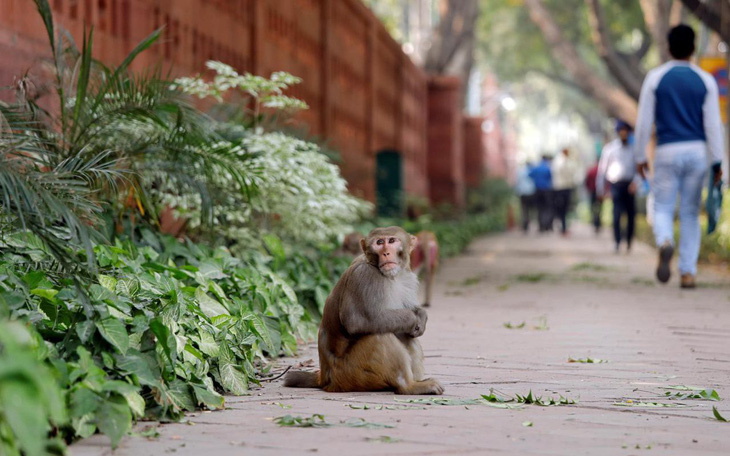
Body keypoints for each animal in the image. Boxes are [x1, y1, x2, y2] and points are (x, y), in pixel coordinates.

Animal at [284, 226, 444, 394]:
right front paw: (412, 318)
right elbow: (357, 321)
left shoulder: (408, 278)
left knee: (405, 336)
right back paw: (409, 386)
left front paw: (421, 315)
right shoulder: (364, 276)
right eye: (379, 243)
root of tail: (324, 378)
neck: (389, 276)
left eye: (392, 241)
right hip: (351, 374)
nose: (386, 253)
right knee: (380, 335)